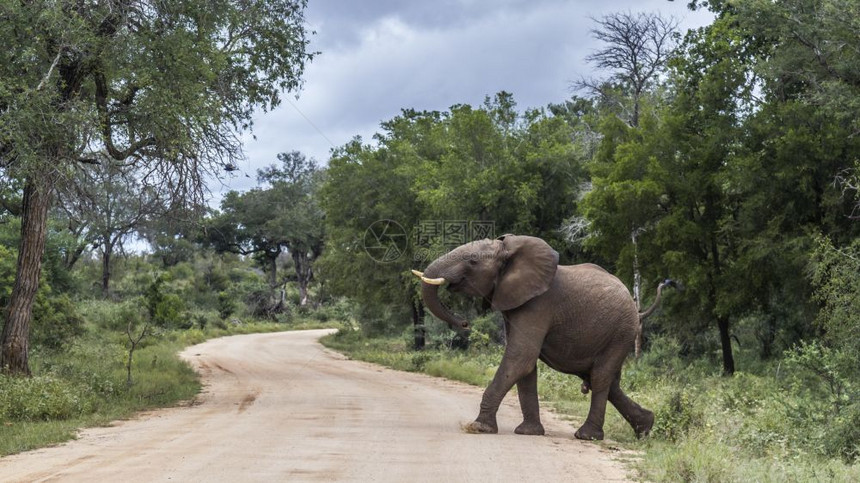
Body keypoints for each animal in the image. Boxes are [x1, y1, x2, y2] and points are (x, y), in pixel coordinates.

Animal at [414, 234, 660, 442]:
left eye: (473, 261)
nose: (464, 322)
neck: (509, 252)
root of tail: (636, 309)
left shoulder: (537, 305)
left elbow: (520, 358)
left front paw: (478, 428)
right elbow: (525, 366)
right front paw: (528, 432)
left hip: (621, 332)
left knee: (600, 377)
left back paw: (587, 436)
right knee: (606, 381)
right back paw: (645, 429)